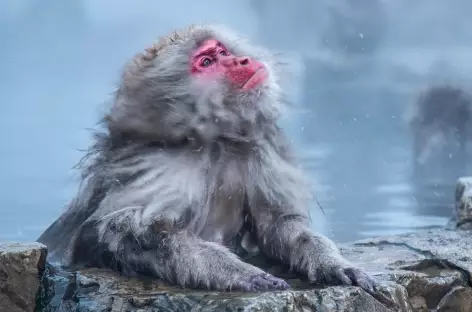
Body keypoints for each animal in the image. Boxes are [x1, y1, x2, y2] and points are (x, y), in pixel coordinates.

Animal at [37, 23, 376, 292]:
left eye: (221, 51)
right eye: (207, 62)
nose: (242, 59)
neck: (215, 142)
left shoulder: (260, 151)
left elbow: (279, 227)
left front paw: (333, 262)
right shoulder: (160, 167)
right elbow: (125, 232)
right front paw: (238, 271)